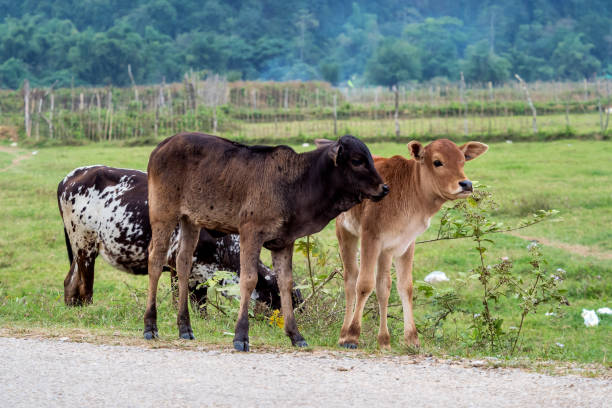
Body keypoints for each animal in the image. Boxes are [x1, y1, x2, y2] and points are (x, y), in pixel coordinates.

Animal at [58, 164, 298, 310]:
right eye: (282, 298)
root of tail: (70, 177)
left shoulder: (201, 275)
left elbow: (201, 308)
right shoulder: (175, 264)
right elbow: (177, 300)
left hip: (80, 249)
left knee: (70, 281)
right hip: (85, 245)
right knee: (85, 287)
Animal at [145, 132, 388, 350]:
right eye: (357, 161)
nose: (384, 188)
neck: (297, 182)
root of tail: (162, 146)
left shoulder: (283, 241)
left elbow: (286, 283)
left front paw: (295, 336)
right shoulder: (250, 233)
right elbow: (249, 280)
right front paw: (241, 336)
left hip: (190, 221)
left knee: (183, 263)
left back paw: (185, 328)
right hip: (163, 214)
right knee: (155, 260)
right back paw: (150, 326)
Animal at [334, 139, 488, 348]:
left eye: (463, 161)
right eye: (437, 162)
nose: (466, 184)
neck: (409, 191)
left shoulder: (405, 244)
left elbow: (404, 287)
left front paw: (411, 338)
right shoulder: (370, 236)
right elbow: (364, 284)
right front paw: (352, 336)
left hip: (385, 251)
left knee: (383, 287)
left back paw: (384, 340)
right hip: (346, 232)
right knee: (351, 280)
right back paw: (344, 334)